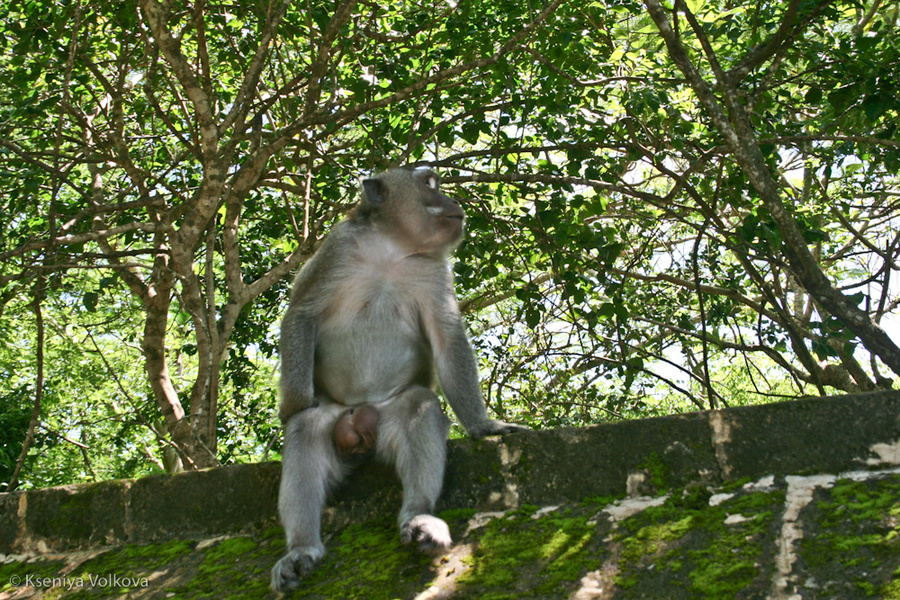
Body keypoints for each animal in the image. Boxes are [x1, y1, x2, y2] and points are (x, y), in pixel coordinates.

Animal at [274, 166, 528, 592]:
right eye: (429, 183)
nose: (452, 200)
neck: (391, 251)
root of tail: (359, 421)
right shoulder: (338, 249)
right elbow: (301, 315)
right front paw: (294, 404)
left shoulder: (431, 270)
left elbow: (447, 339)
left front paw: (483, 425)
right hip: (337, 417)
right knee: (306, 431)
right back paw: (301, 549)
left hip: (387, 413)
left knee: (418, 408)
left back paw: (419, 518)